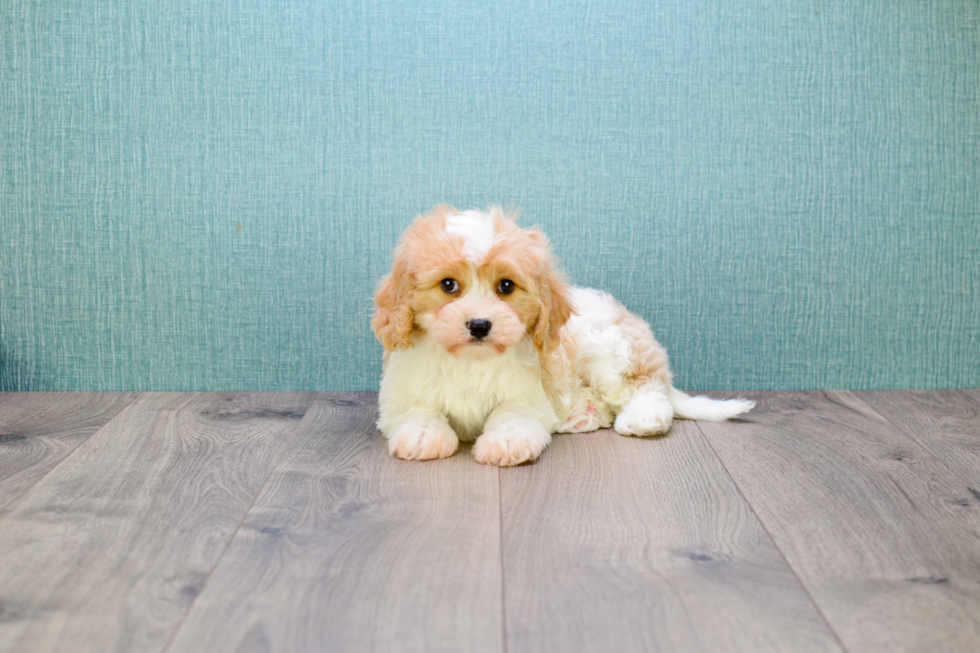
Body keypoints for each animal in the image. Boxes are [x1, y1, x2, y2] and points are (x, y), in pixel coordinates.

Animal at [372, 206, 756, 466]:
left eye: (505, 286)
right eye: (448, 285)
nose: (480, 324)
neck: (470, 361)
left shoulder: (525, 396)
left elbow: (512, 417)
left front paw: (505, 443)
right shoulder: (404, 394)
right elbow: (418, 412)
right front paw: (423, 436)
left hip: (610, 351)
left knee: (646, 387)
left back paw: (643, 417)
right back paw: (584, 413)